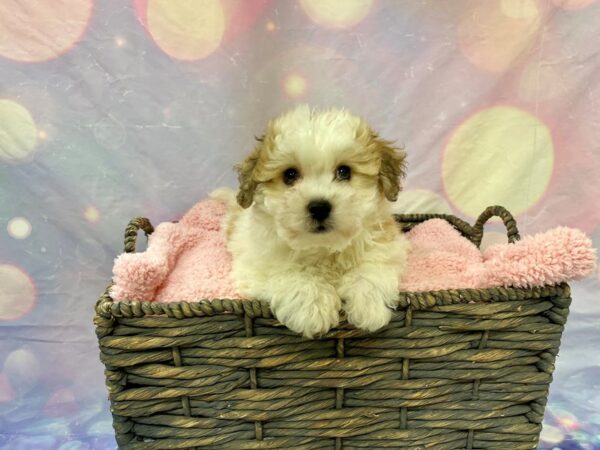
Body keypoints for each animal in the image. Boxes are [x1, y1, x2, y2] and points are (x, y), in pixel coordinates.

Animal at [214, 105, 408, 338]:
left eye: (344, 171)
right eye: (290, 175)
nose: (319, 207)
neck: (323, 248)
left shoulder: (386, 247)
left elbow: (371, 269)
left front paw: (369, 306)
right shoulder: (255, 267)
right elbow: (292, 275)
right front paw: (313, 306)